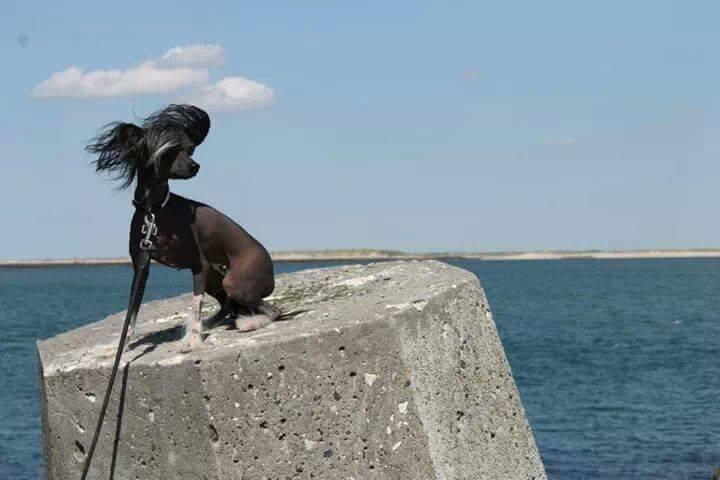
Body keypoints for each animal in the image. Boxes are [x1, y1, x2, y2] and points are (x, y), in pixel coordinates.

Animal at [88, 105, 282, 352]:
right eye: (169, 152)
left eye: (189, 150)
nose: (195, 166)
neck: (156, 211)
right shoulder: (141, 269)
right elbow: (132, 315)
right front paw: (121, 347)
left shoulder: (200, 266)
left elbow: (195, 306)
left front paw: (192, 339)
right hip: (216, 280)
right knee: (229, 306)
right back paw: (218, 322)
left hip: (233, 281)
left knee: (273, 311)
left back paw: (249, 323)